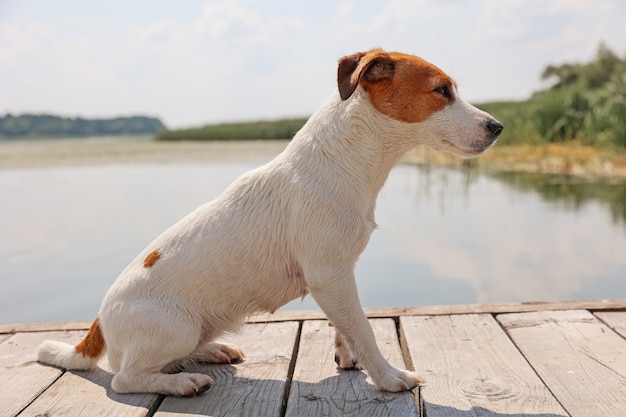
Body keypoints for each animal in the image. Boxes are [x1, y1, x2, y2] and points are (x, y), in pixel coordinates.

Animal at [39, 47, 500, 394]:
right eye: (441, 91)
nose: (498, 126)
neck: (342, 162)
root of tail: (98, 323)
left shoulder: (336, 276)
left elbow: (347, 324)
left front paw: (348, 356)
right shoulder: (329, 274)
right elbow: (365, 328)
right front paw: (389, 377)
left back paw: (211, 352)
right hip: (177, 326)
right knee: (126, 378)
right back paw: (183, 382)